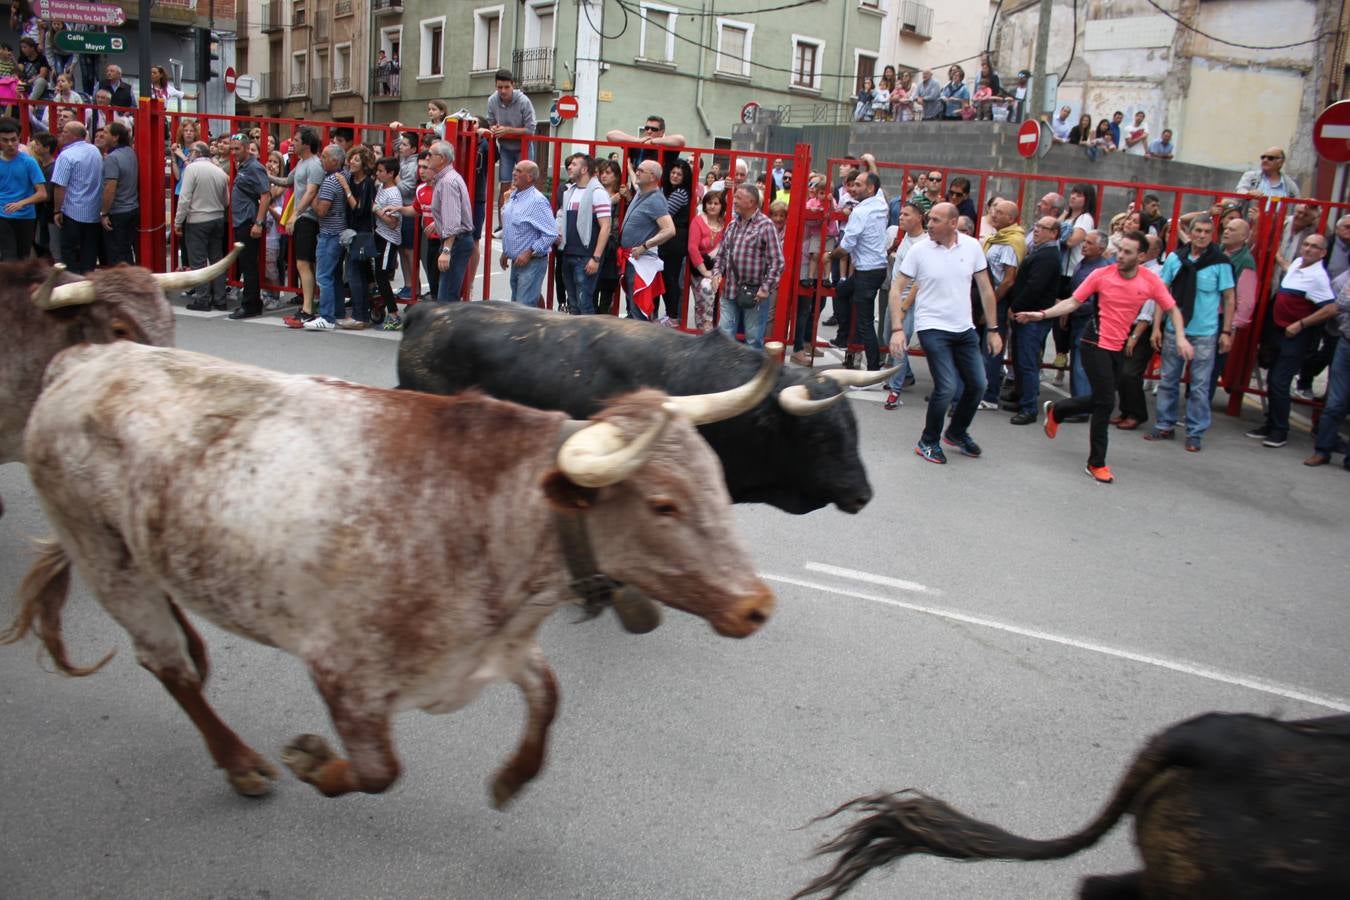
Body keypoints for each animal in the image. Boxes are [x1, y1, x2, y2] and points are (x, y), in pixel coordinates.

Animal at [5, 341, 783, 804]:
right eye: (663, 504)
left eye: (717, 480)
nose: (757, 606)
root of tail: (88, 358)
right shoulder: (344, 677)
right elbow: (381, 773)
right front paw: (317, 765)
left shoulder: (498, 653)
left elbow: (549, 698)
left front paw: (511, 779)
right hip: (107, 558)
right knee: (167, 664)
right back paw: (240, 761)